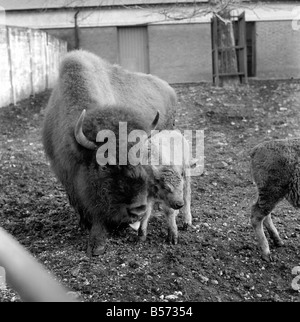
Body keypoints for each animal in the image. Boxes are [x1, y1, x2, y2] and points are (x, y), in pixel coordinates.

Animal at [42, 49, 178, 256]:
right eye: (105, 165)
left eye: (142, 158)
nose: (138, 210)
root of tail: (169, 89)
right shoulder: (65, 174)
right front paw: (86, 227)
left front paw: (97, 243)